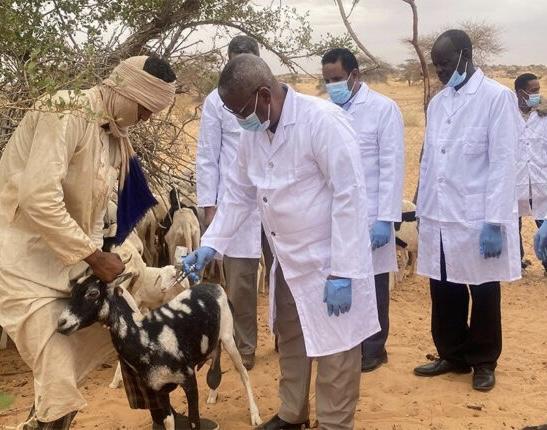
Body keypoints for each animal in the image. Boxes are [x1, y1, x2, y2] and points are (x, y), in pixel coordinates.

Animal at [57, 275, 262, 428]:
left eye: (93, 293)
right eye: (71, 292)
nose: (61, 323)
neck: (145, 337)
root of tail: (215, 286)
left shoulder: (188, 380)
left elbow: (194, 422)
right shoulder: (158, 389)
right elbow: (168, 421)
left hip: (228, 337)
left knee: (243, 374)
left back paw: (255, 416)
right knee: (215, 365)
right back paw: (212, 395)